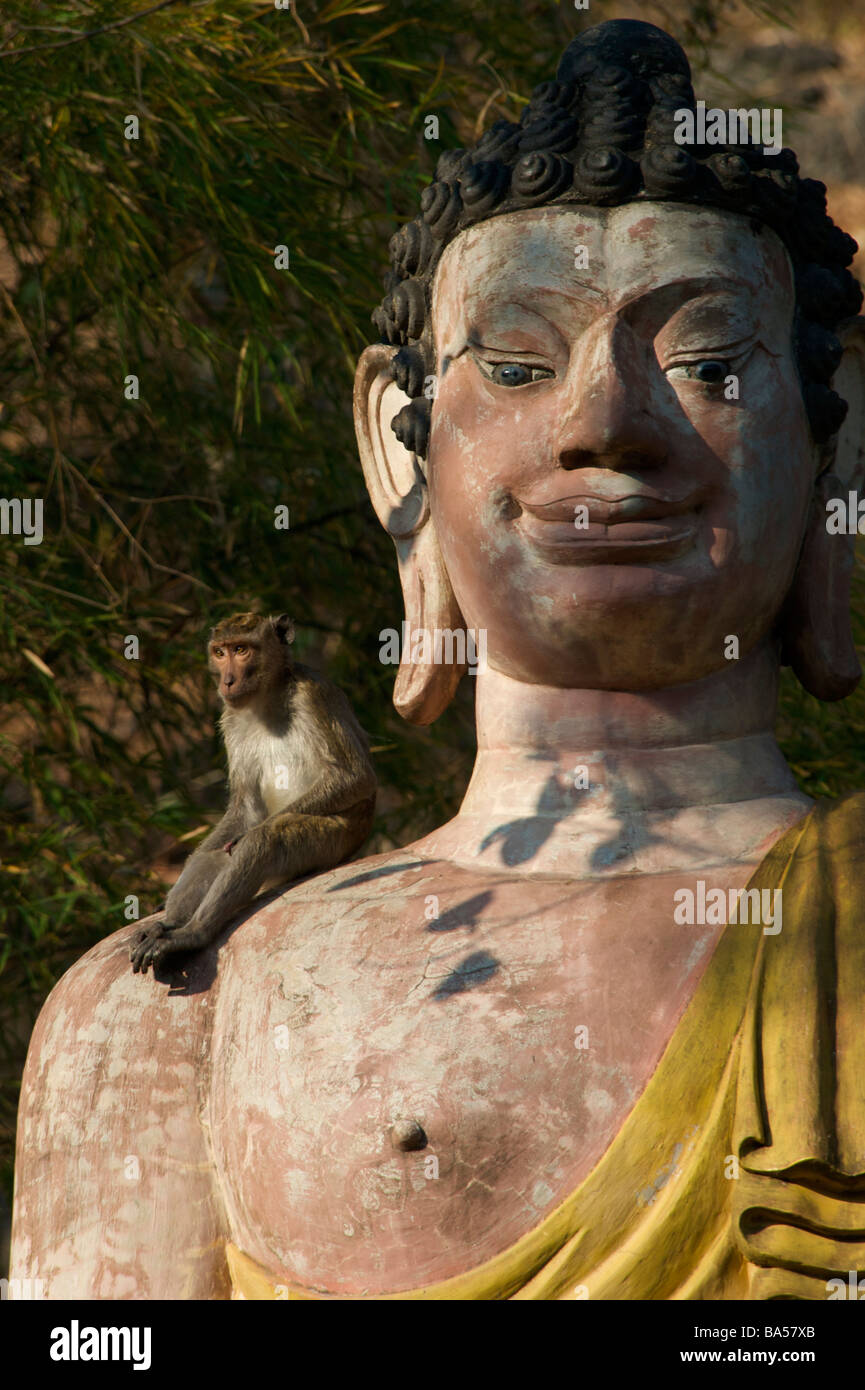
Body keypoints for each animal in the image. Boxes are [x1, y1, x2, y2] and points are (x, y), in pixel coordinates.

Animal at [130, 608, 378, 978]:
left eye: (242, 650)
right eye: (220, 652)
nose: (227, 680)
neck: (267, 698)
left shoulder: (314, 693)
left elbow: (355, 777)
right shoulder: (230, 718)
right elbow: (245, 808)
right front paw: (167, 920)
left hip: (334, 840)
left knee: (265, 839)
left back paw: (193, 933)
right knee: (214, 852)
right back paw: (172, 924)